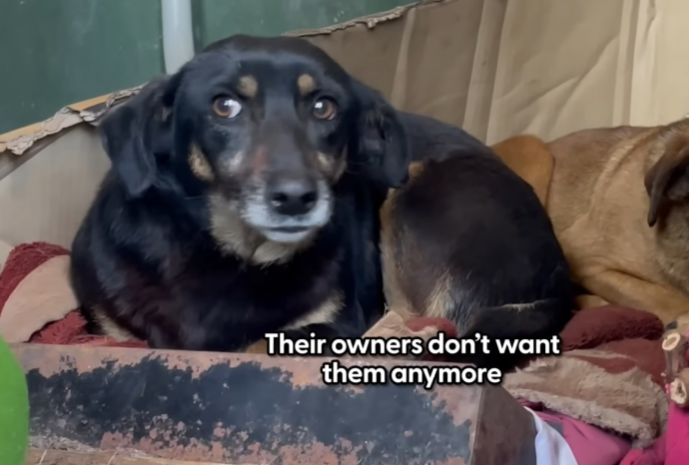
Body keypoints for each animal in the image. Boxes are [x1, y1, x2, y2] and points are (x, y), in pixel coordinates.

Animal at [69, 35, 411, 351]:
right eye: (224, 106)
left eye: (324, 107)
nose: (296, 198)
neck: (230, 257)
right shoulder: (110, 331)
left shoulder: (339, 325)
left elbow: (261, 344)